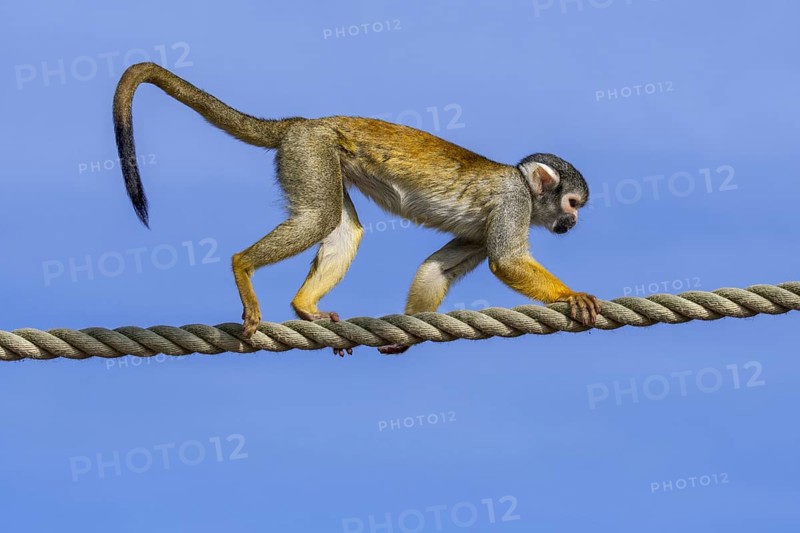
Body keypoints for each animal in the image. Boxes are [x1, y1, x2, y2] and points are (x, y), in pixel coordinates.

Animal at [113, 62, 601, 356]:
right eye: (572, 203)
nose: (573, 222)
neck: (525, 189)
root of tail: (300, 123)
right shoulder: (513, 201)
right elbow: (506, 261)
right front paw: (573, 296)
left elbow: (436, 269)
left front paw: (408, 336)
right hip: (311, 151)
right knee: (320, 219)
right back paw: (242, 267)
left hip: (316, 157)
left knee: (343, 227)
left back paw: (305, 306)